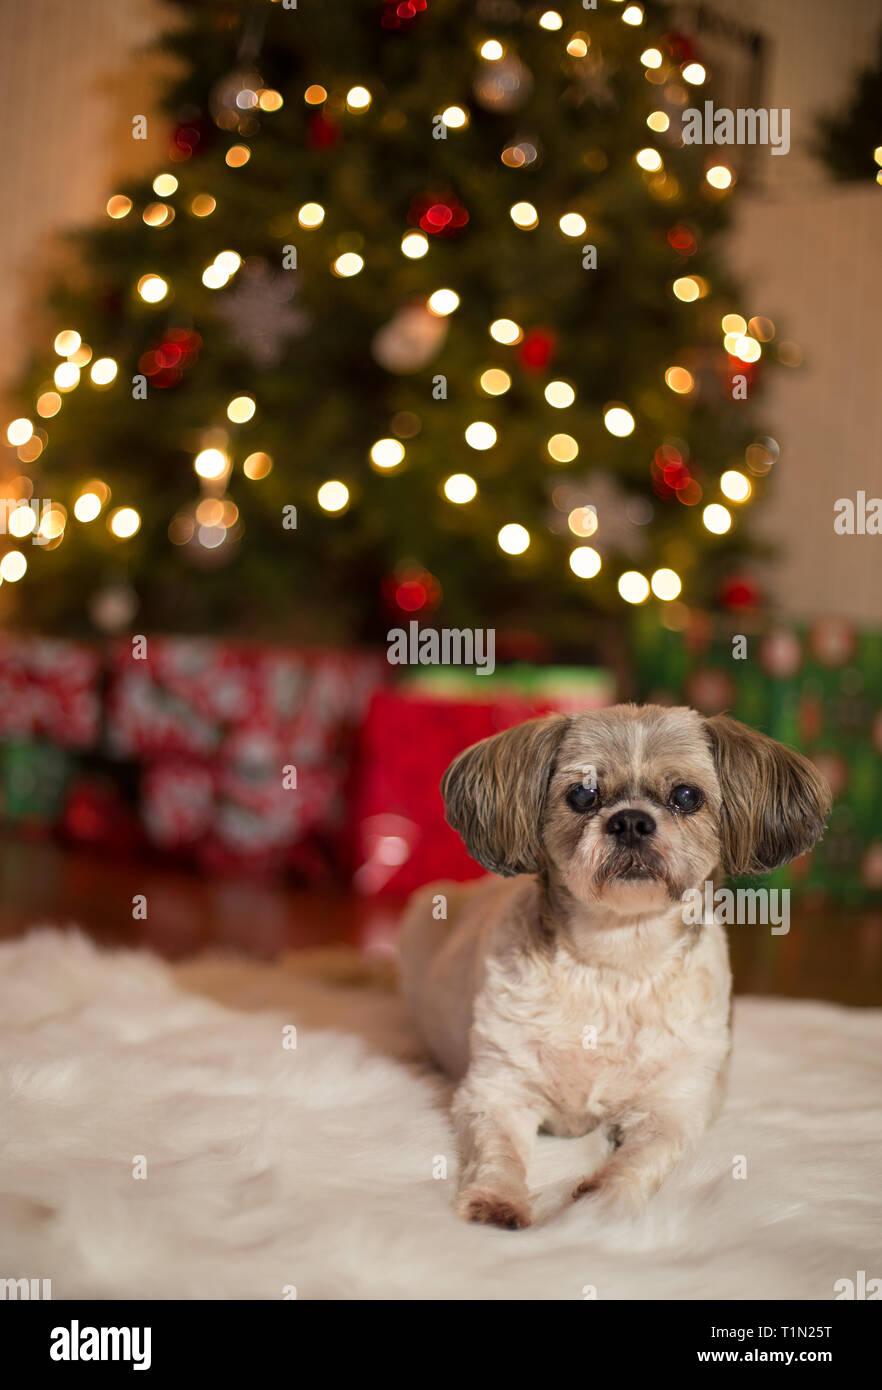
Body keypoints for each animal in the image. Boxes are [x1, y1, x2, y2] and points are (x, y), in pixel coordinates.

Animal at [400, 706, 833, 1228]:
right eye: (582, 795)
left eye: (686, 797)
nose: (630, 821)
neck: (616, 959)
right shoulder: (498, 1091)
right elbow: (498, 1150)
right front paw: (496, 1198)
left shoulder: (674, 1106)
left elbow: (641, 1159)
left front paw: (600, 1206)